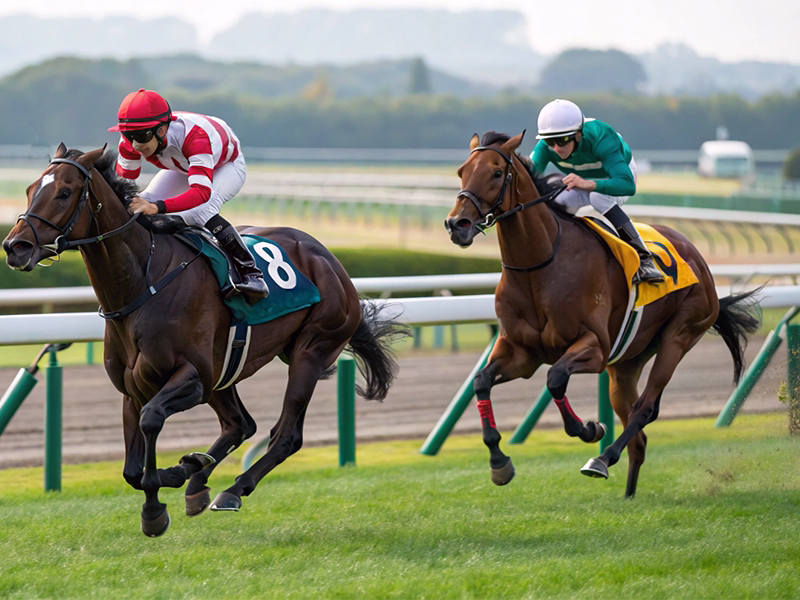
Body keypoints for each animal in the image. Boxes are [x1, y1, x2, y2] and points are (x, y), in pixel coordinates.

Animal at [3, 144, 408, 536]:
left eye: (64, 192)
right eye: (30, 190)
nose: (15, 247)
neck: (144, 281)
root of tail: (330, 261)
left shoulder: (192, 377)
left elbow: (151, 421)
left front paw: (156, 506)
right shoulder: (133, 388)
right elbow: (131, 470)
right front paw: (178, 473)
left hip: (310, 351)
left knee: (286, 435)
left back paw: (232, 489)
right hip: (224, 370)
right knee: (240, 424)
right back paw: (198, 480)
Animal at [445, 131, 760, 497]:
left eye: (496, 173)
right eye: (461, 171)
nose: (457, 224)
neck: (538, 266)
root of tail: (698, 258)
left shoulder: (594, 347)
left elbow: (555, 379)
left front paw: (589, 429)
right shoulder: (521, 354)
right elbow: (481, 381)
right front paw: (499, 462)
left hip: (679, 336)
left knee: (645, 409)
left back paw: (601, 459)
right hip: (626, 363)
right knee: (638, 435)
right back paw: (628, 494)